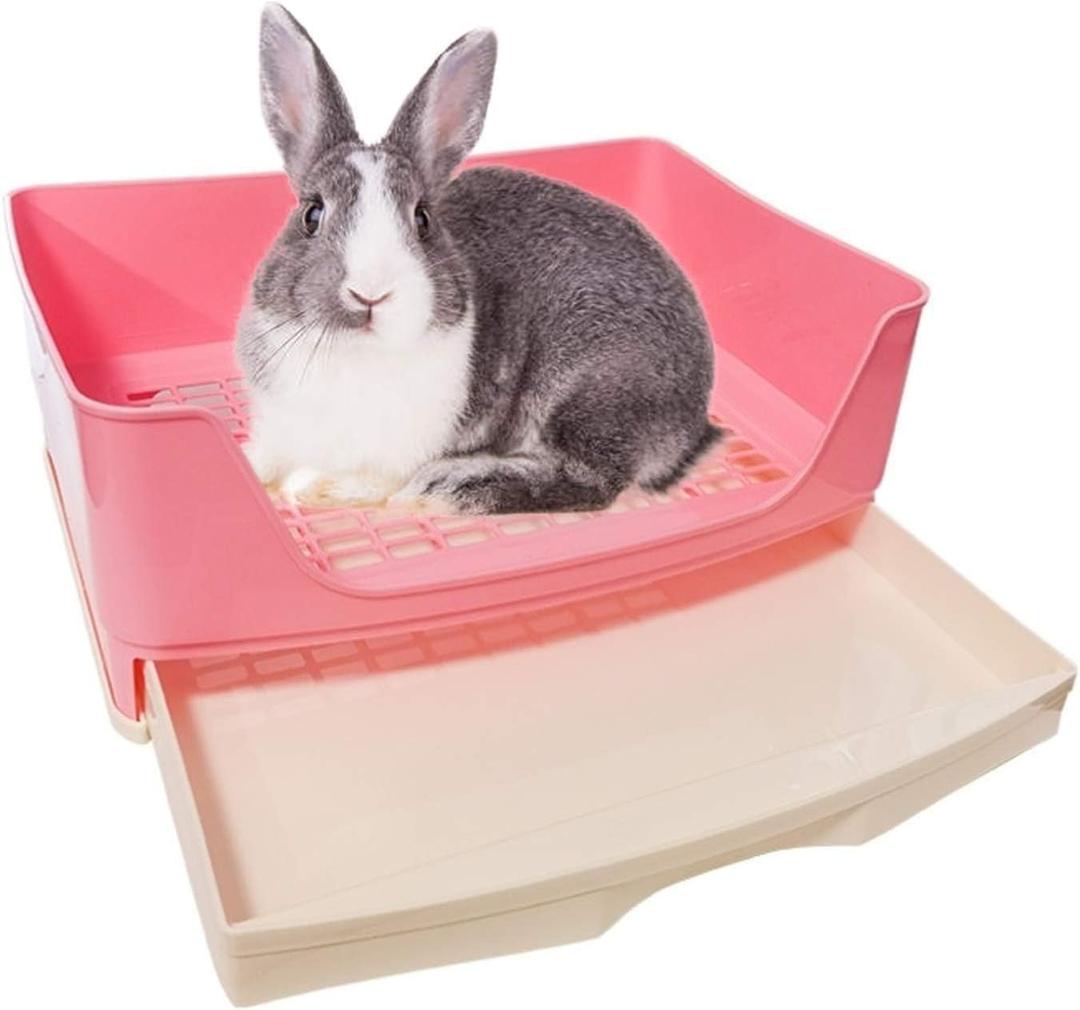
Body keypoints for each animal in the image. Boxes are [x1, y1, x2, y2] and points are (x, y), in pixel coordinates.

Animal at [237, 3, 722, 514]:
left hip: (591, 387)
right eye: (312, 214)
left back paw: (450, 487)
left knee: (589, 480)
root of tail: (693, 422)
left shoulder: (395, 457)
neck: (355, 354)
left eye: (423, 219)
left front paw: (309, 487)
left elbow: (369, 482)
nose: (370, 294)